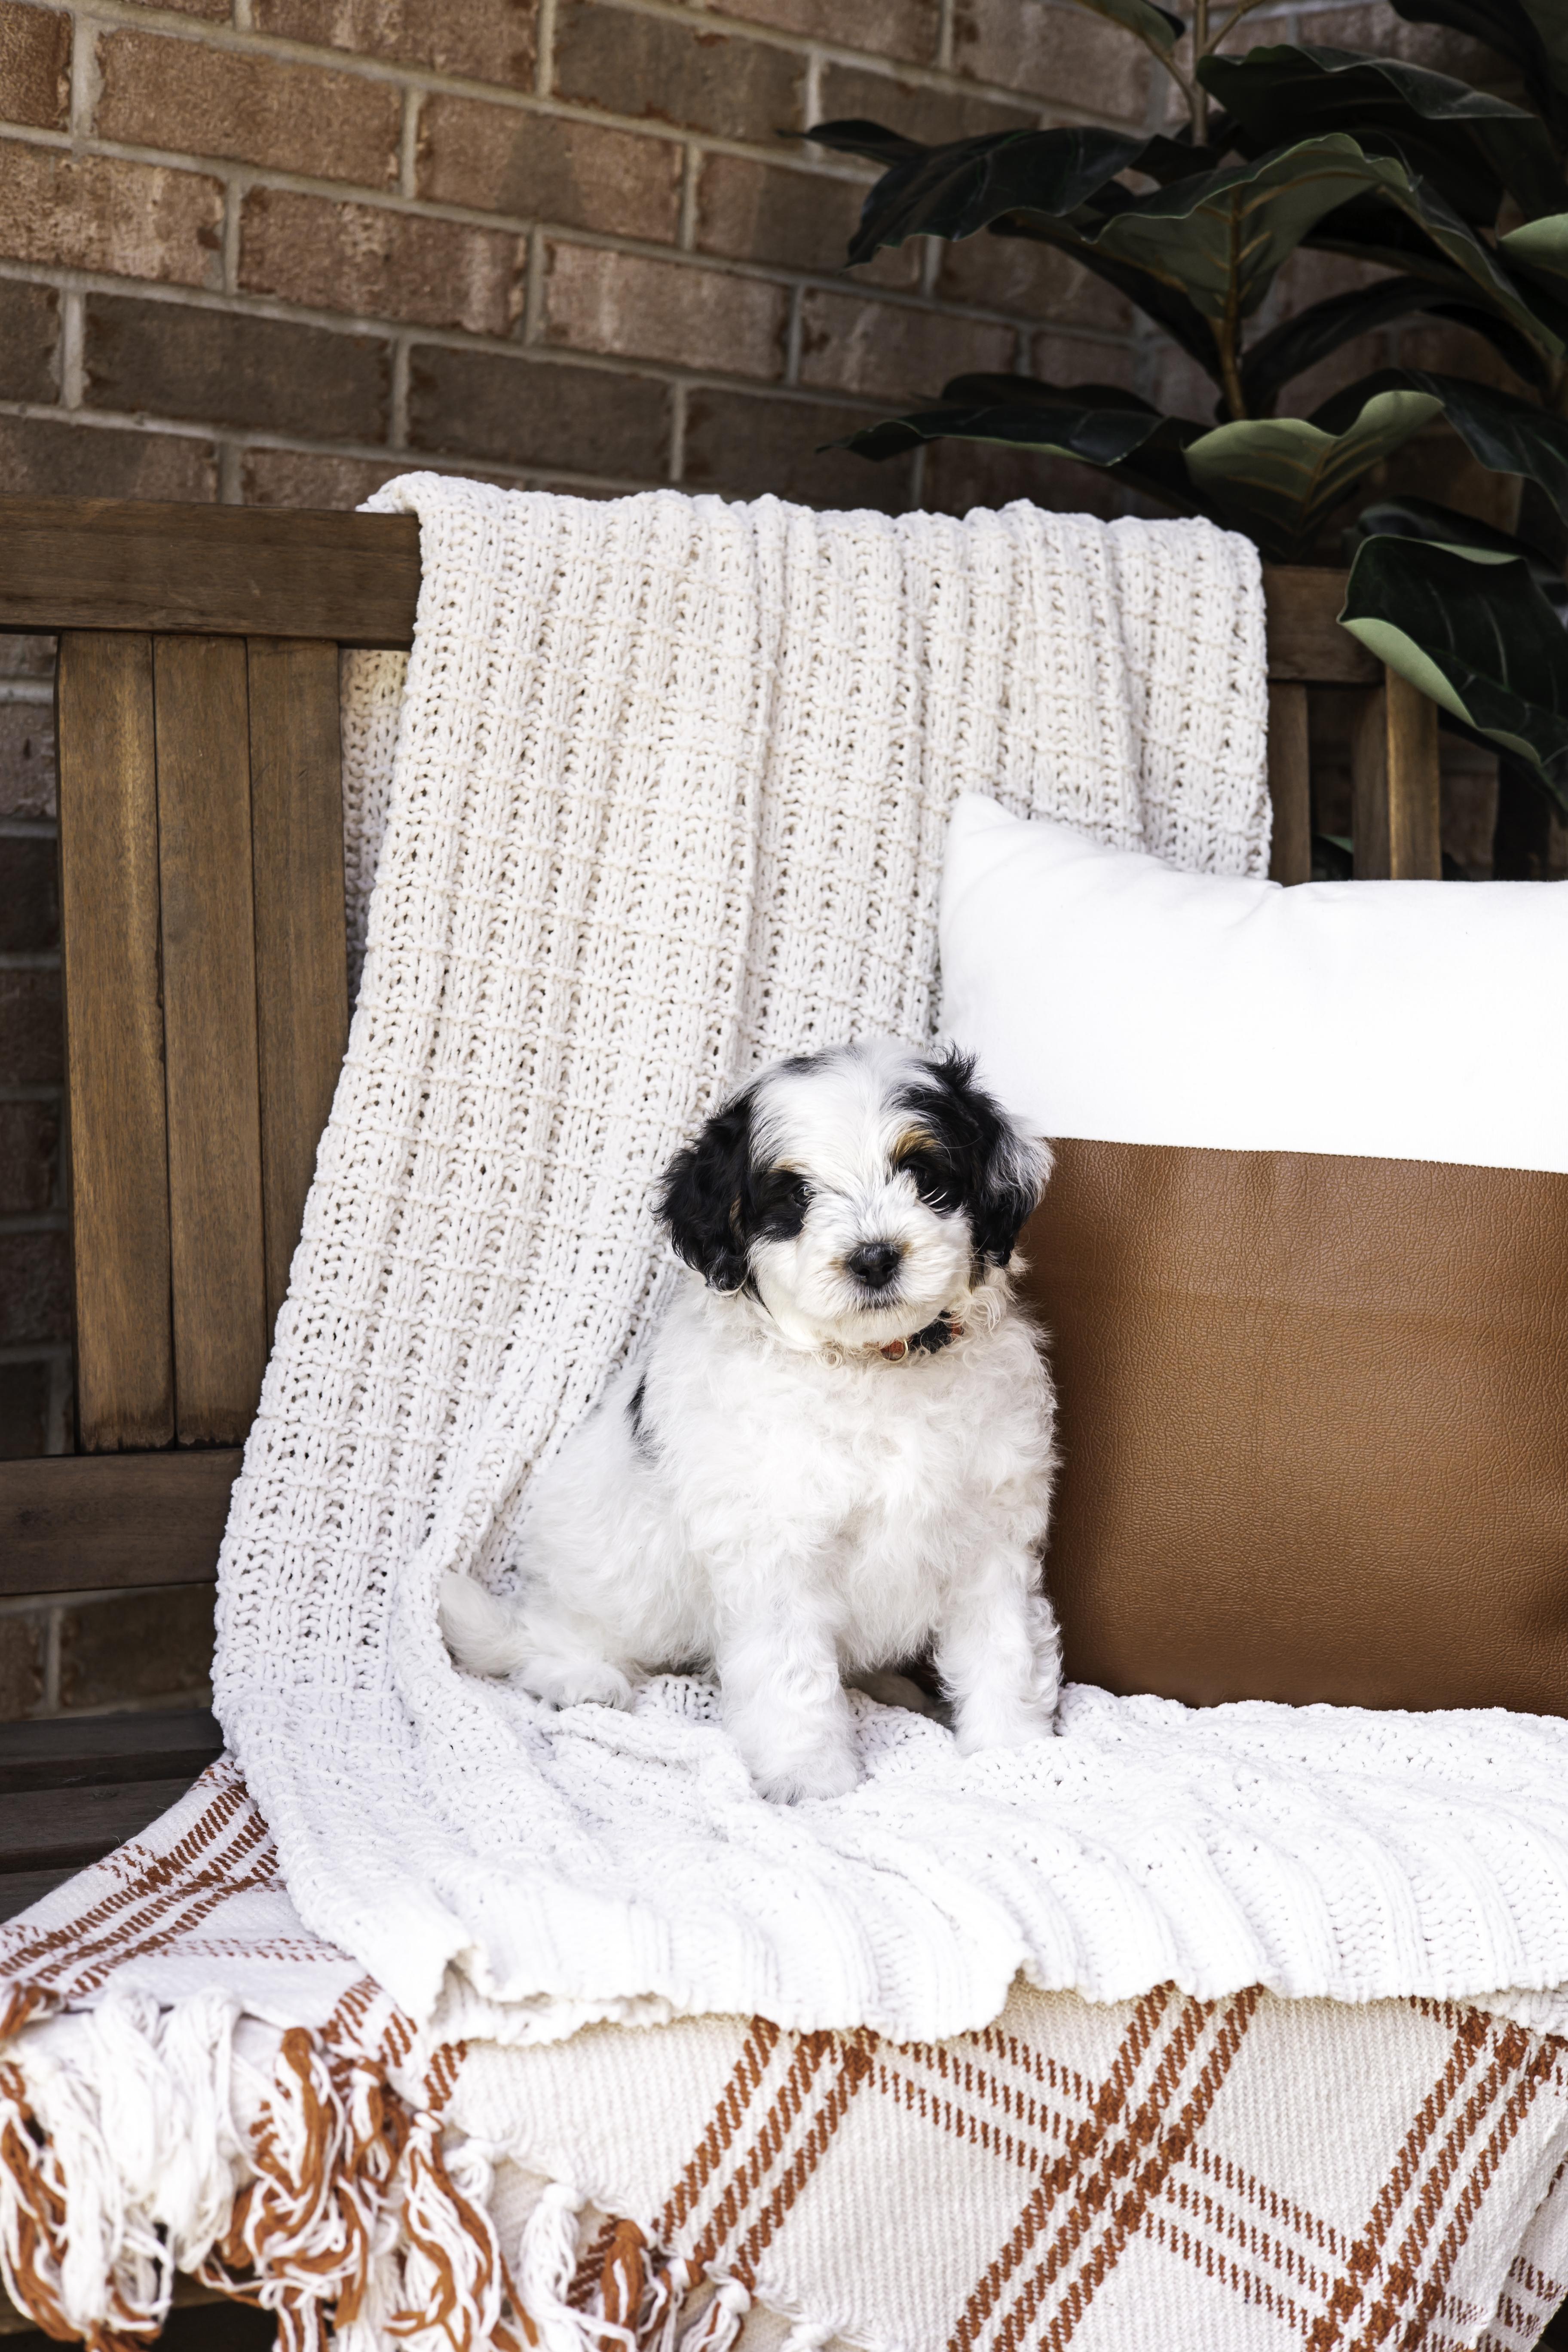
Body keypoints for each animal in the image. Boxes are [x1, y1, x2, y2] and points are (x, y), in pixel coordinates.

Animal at [440, 1038, 1060, 1801]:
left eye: (923, 1175)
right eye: (795, 1197)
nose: (875, 1257)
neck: (875, 1365)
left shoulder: (991, 1534)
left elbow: (1005, 1645)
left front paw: (1012, 1755)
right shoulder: (776, 1549)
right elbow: (793, 1675)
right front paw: (810, 1777)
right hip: (610, 1574)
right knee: (551, 1633)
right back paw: (580, 1674)